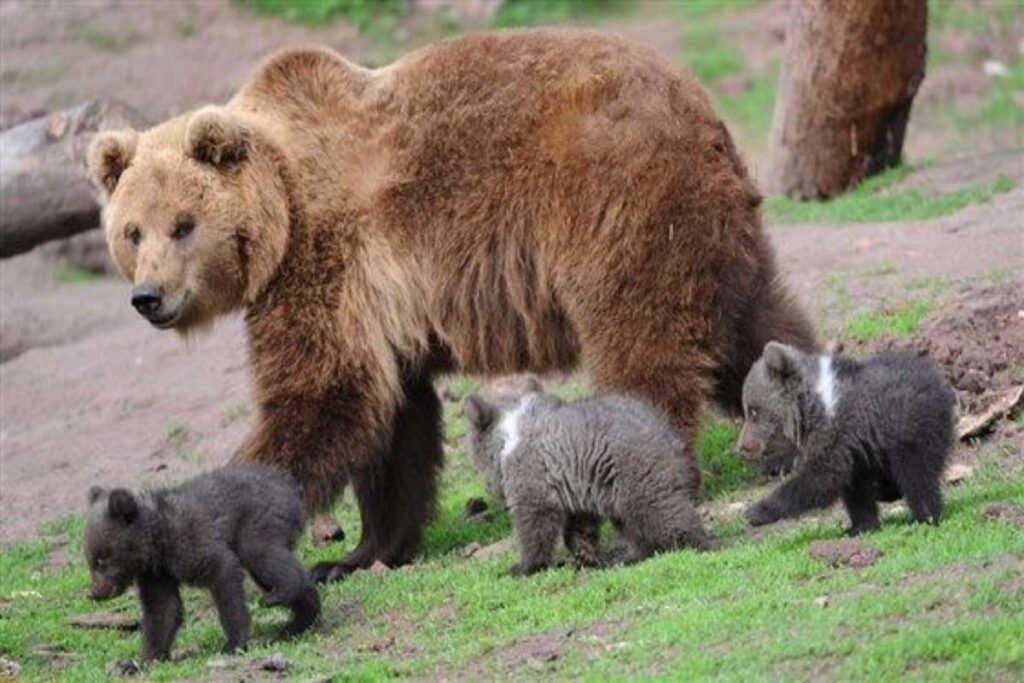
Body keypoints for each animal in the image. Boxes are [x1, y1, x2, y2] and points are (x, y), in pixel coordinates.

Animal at [88, 29, 815, 581]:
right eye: (132, 231)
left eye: (183, 224)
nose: (149, 296)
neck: (282, 213)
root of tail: (695, 103)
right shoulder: (376, 306)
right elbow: (391, 428)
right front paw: (361, 551)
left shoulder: (325, 261)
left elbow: (322, 395)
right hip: (716, 230)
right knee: (756, 326)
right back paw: (795, 432)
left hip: (614, 204)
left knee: (642, 341)